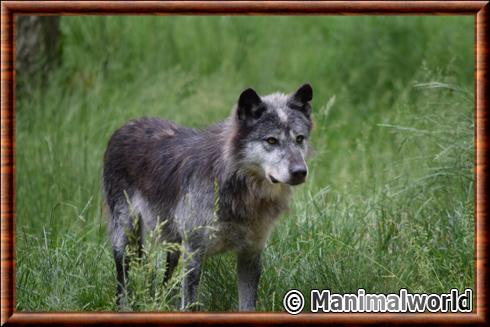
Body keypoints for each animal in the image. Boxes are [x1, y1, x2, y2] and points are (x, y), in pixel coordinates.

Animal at [103, 82, 314, 312]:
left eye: (299, 139)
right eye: (272, 140)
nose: (300, 172)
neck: (239, 189)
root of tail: (125, 126)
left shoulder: (250, 255)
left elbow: (247, 306)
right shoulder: (194, 254)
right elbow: (189, 305)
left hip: (173, 247)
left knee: (165, 281)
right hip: (126, 238)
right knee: (122, 286)